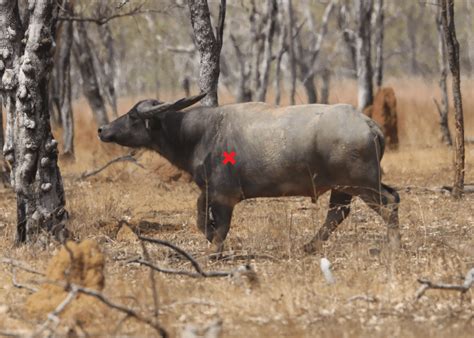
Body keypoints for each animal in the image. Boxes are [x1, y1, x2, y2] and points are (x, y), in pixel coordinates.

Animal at [99, 94, 400, 254]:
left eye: (132, 116)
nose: (103, 129)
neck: (199, 134)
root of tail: (369, 125)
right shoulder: (209, 190)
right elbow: (199, 213)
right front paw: (208, 235)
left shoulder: (224, 195)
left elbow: (220, 225)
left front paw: (214, 249)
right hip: (343, 187)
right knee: (342, 212)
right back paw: (309, 246)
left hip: (361, 184)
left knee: (388, 203)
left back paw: (391, 245)